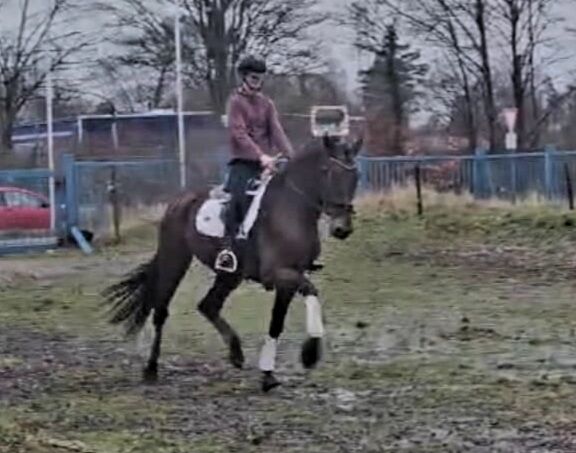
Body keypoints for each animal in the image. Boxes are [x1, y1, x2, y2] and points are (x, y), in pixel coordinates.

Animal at [102, 133, 362, 388]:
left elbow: (277, 323)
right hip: (175, 259)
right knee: (161, 311)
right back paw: (151, 368)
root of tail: (179, 201)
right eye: (327, 171)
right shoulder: (280, 273)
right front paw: (310, 354)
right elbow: (312, 292)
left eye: (355, 175)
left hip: (230, 274)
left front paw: (268, 374)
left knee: (208, 305)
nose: (342, 228)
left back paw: (236, 353)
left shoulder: (289, 280)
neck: (292, 210)